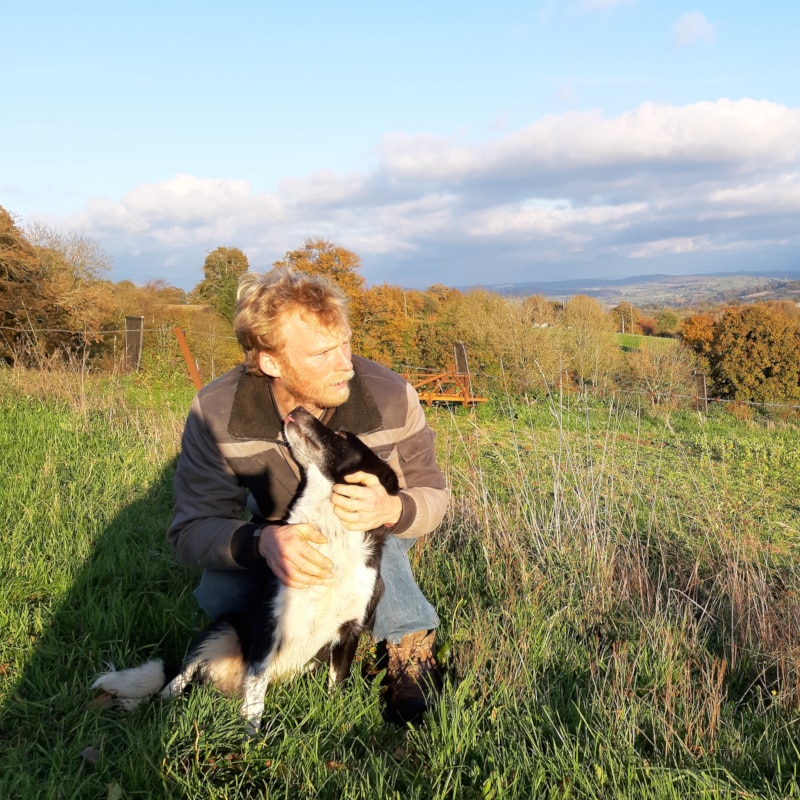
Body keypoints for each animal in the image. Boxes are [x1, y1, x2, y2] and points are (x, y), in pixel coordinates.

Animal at [92, 404, 398, 736]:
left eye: (341, 434)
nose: (299, 408)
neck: (330, 534)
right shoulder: (270, 621)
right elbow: (256, 686)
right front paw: (251, 735)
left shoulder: (350, 630)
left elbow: (337, 685)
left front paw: (335, 722)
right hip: (221, 628)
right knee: (174, 682)